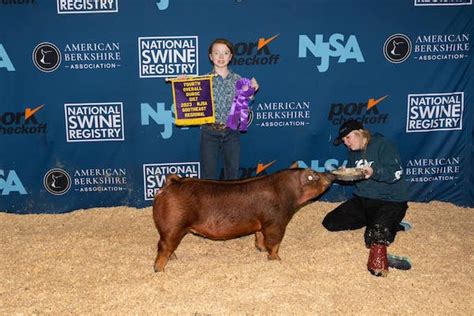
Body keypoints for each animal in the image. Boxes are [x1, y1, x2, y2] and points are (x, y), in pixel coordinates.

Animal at [151, 163, 334, 272]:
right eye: (315, 175)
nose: (332, 175)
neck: (289, 192)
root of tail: (172, 183)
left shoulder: (262, 224)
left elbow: (259, 237)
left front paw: (261, 249)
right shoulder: (276, 223)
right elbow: (274, 243)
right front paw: (277, 260)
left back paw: (173, 259)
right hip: (174, 226)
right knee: (163, 247)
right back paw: (159, 270)